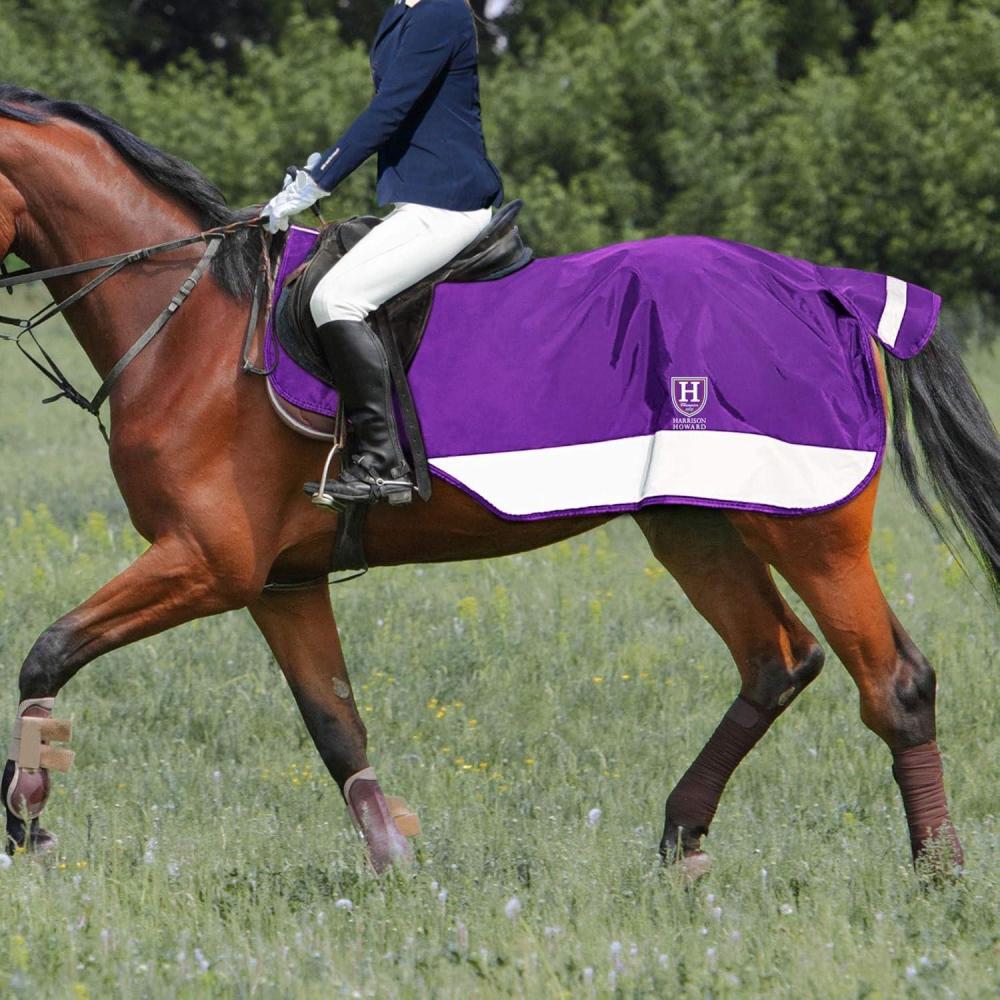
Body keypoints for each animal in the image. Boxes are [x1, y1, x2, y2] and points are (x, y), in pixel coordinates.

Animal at [2, 84, 999, 877]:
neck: (192, 331)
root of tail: (824, 287)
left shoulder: (209, 563)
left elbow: (46, 652)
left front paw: (29, 817)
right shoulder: (281, 582)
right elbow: (336, 728)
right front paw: (396, 865)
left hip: (808, 526)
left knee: (894, 683)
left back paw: (937, 874)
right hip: (695, 524)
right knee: (775, 660)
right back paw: (682, 845)